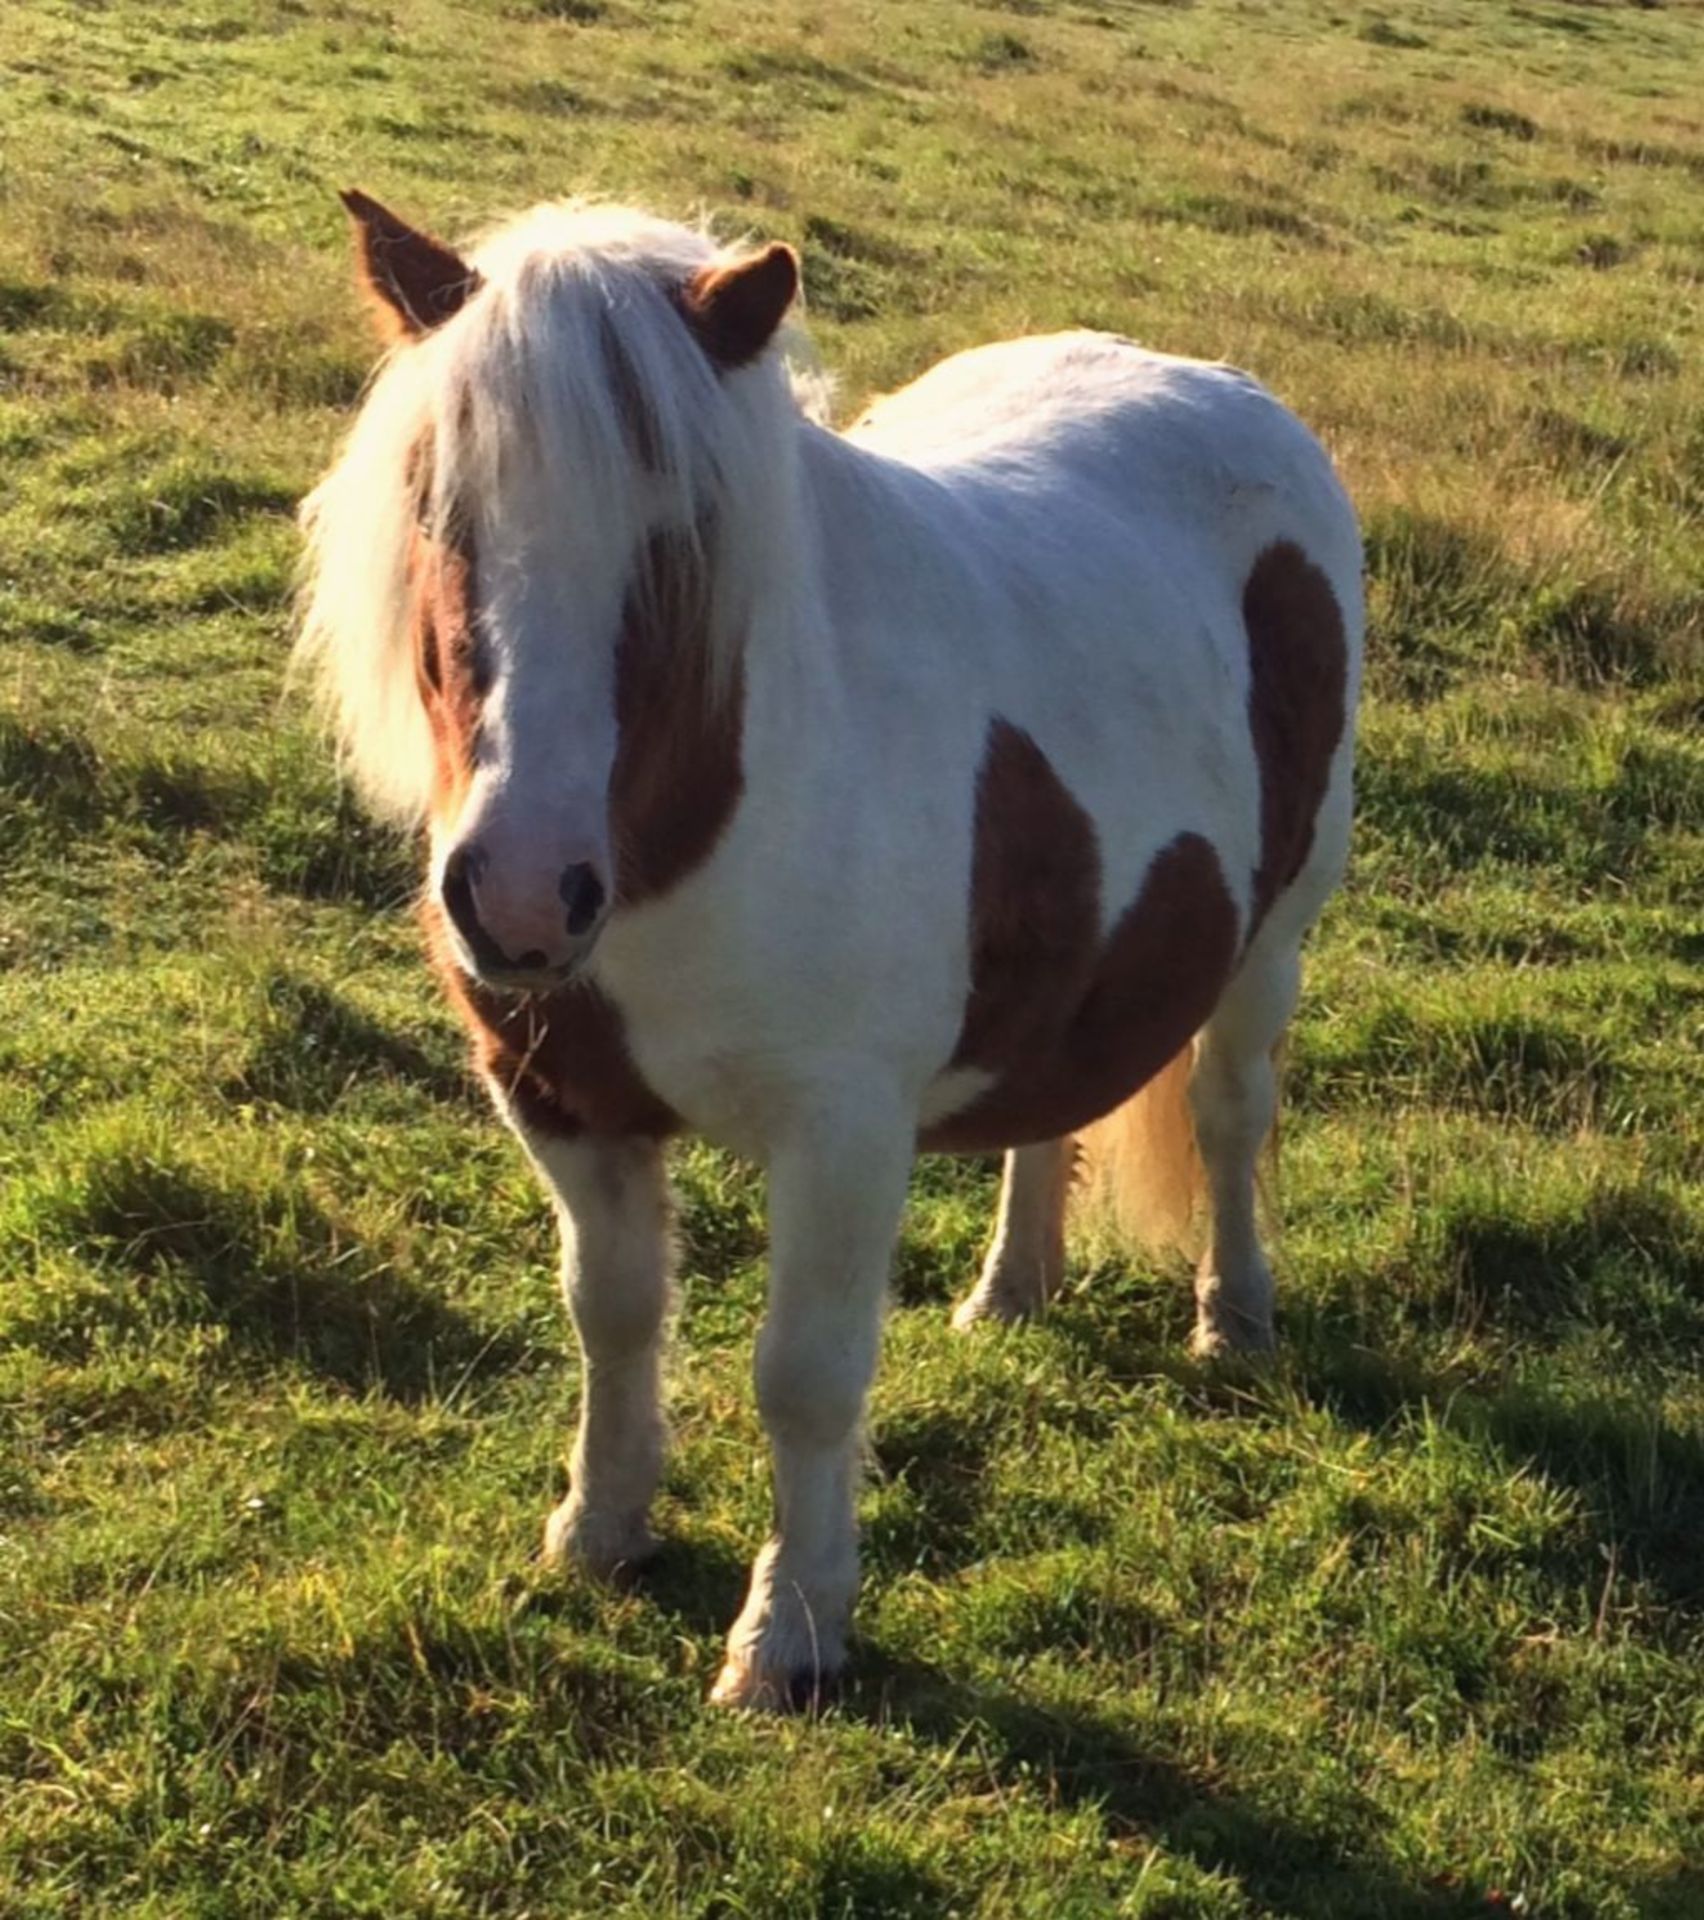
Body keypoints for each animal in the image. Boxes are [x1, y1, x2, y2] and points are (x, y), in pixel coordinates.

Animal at [299, 183, 1366, 1712]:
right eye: (442, 503)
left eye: (680, 531)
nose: (519, 897)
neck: (694, 825)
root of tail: (1222, 390)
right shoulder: (565, 1100)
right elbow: (612, 1313)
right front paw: (600, 1528)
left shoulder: (843, 1133)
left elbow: (803, 1376)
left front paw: (788, 1633)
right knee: (1052, 1112)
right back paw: (1010, 1293)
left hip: (1273, 936)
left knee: (1228, 1118)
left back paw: (1235, 1321)